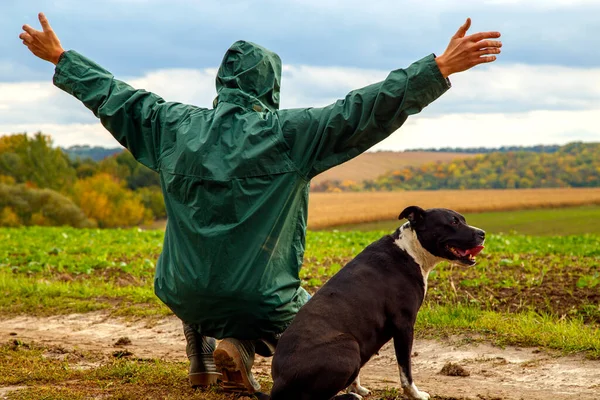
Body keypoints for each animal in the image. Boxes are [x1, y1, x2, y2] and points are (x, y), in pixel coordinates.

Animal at [270, 206, 486, 400]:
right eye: (453, 222)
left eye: (463, 219)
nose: (482, 233)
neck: (410, 249)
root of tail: (279, 381)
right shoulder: (404, 326)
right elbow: (405, 369)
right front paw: (415, 394)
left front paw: (357, 387)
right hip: (348, 347)